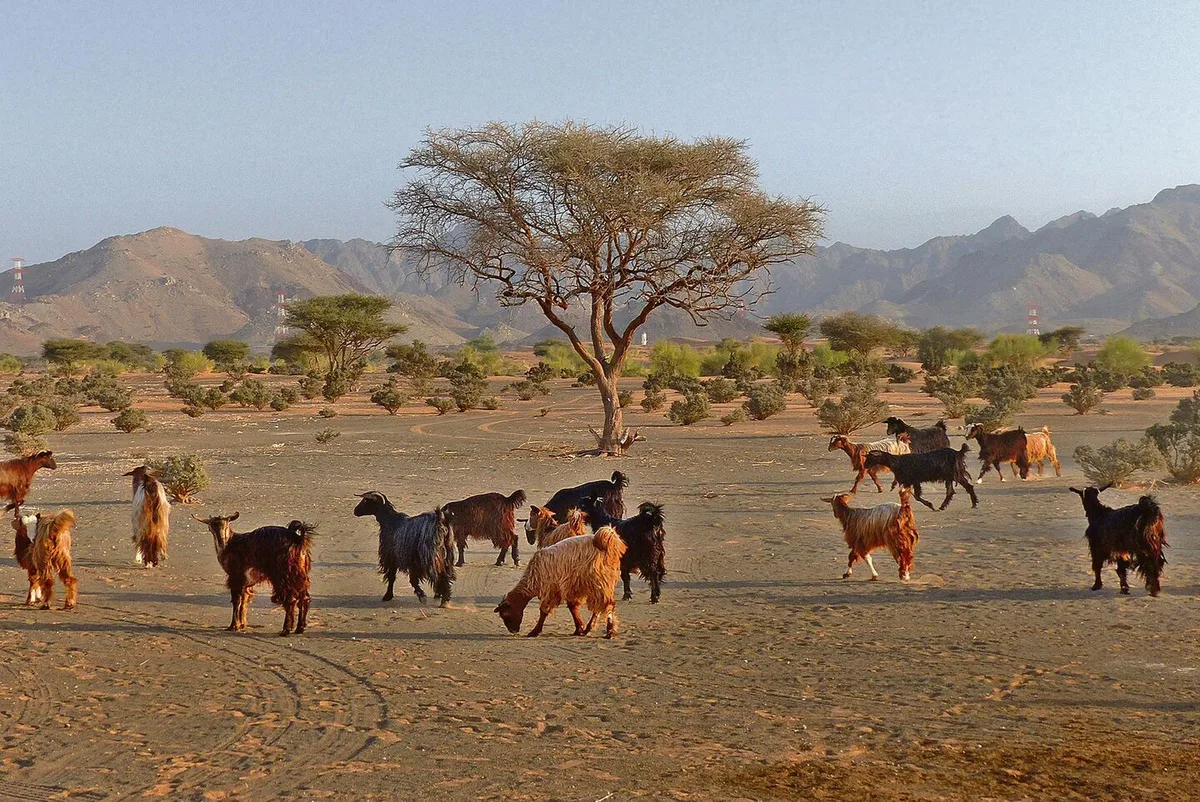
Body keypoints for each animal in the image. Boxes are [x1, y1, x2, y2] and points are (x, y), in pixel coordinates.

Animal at [494, 527, 626, 638]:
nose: (513, 630)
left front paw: (535, 631)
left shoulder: (551, 589)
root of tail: (611, 544)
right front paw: (579, 628)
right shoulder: (571, 587)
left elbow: (544, 611)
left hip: (599, 582)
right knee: (600, 606)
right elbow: (573, 608)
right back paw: (590, 629)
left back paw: (609, 632)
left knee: (607, 604)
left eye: (505, 614)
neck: (533, 576)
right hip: (601, 584)